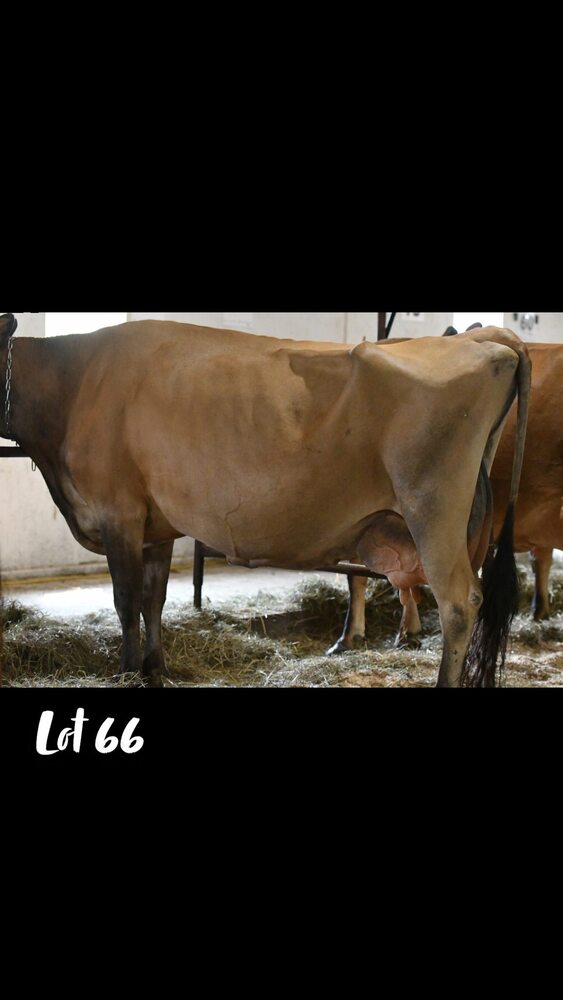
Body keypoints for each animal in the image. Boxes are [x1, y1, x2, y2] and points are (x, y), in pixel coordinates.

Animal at [0, 313, 530, 688]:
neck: (73, 383)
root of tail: (480, 339)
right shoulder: (155, 525)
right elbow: (155, 600)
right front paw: (156, 668)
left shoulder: (119, 513)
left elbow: (126, 601)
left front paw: (128, 671)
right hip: (464, 522)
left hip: (433, 509)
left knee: (460, 602)